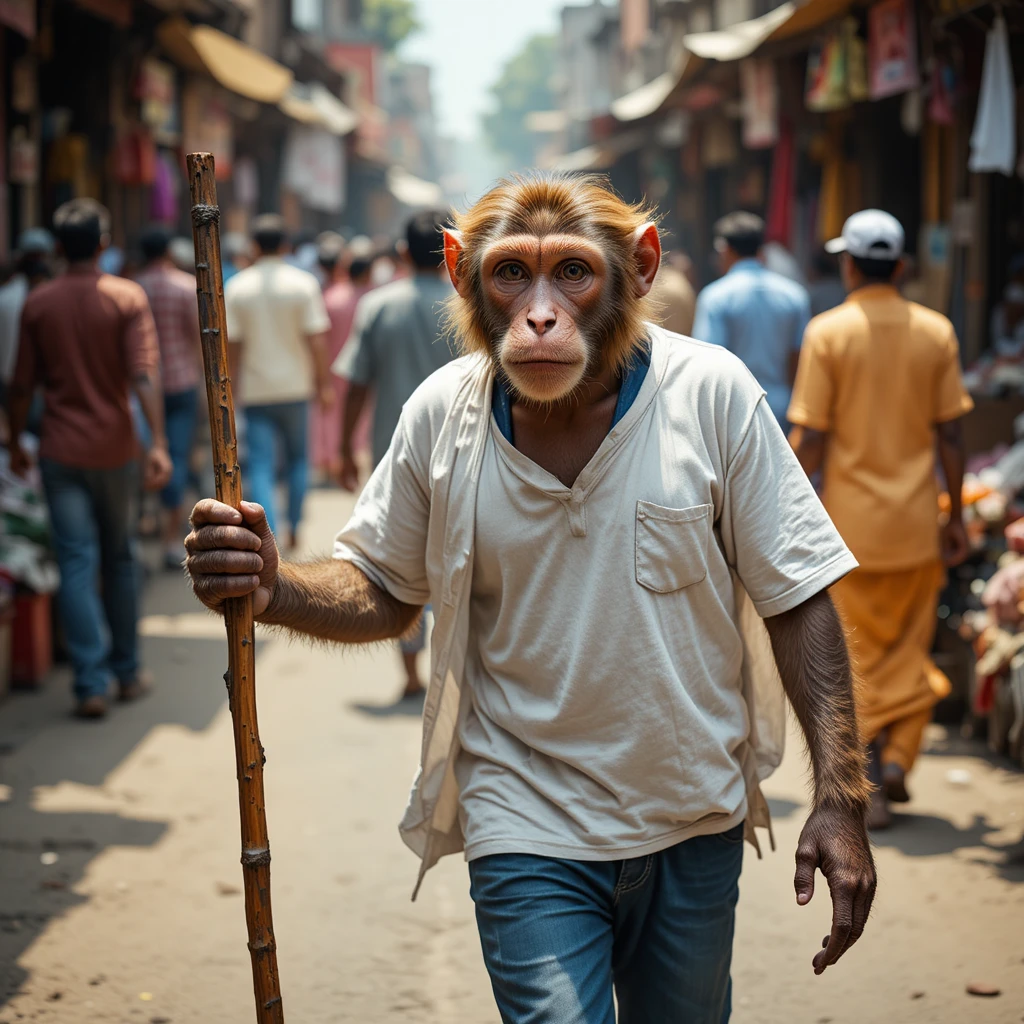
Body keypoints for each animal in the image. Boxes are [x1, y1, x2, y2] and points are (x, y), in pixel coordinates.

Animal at [186, 174, 875, 1022]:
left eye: (573, 272)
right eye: (512, 272)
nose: (541, 319)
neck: (578, 398)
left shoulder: (742, 407)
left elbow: (797, 610)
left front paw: (840, 838)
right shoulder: (417, 424)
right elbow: (384, 591)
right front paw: (244, 563)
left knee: (685, 964)